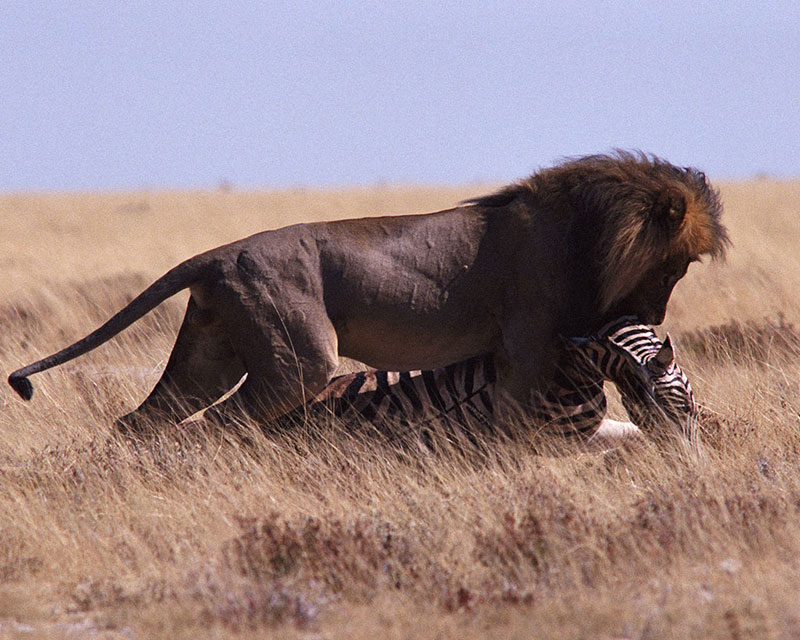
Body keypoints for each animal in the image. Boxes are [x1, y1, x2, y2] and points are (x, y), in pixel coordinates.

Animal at [9, 152, 728, 432]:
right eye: (679, 266)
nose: (654, 315)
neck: (586, 236)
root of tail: (217, 254)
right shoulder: (527, 347)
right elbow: (523, 419)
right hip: (298, 361)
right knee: (219, 424)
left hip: (208, 352)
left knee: (142, 423)